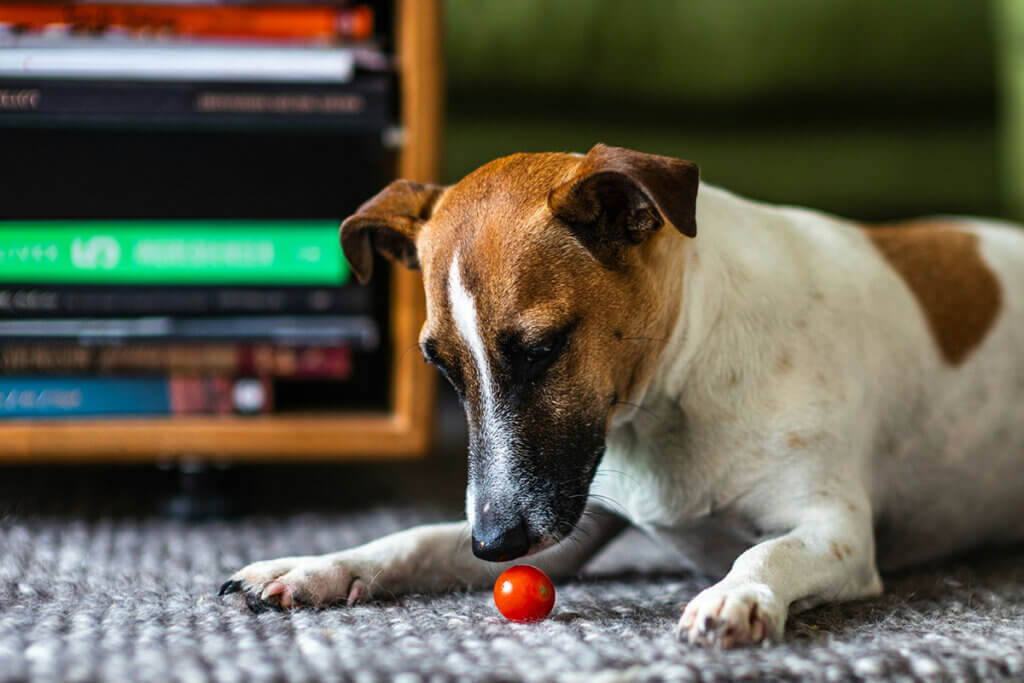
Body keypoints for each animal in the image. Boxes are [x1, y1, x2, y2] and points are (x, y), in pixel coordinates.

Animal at [222, 143, 1024, 647]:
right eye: (442, 367)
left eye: (541, 349)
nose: (493, 545)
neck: (675, 389)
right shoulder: (568, 523)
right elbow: (410, 541)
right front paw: (313, 567)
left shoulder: (838, 533)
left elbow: (767, 552)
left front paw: (737, 594)